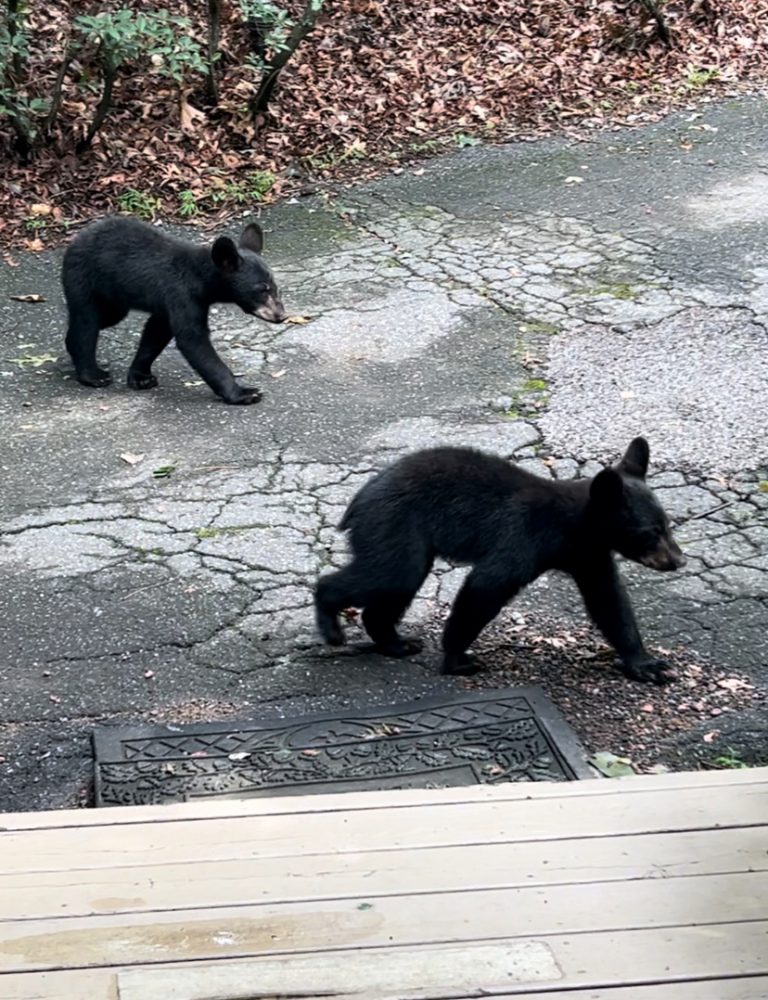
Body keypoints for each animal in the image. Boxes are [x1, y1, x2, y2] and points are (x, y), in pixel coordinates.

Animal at [61, 215, 286, 405]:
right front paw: (244, 392)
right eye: (261, 290)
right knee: (87, 322)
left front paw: (140, 377)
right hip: (84, 279)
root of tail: (74, 241)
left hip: (114, 299)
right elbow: (192, 340)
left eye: (275, 287)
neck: (200, 279)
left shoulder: (168, 305)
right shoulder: (182, 295)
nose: (281, 316)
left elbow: (156, 332)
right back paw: (92, 374)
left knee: (101, 318)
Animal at [315, 437, 685, 684]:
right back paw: (332, 625)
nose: (679, 560)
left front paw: (646, 664)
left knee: (394, 587)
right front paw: (457, 659)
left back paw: (397, 642)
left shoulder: (588, 556)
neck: (572, 527)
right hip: (396, 524)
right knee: (392, 574)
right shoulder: (523, 537)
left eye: (667, 524)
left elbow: (609, 601)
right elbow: (485, 587)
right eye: (650, 532)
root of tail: (357, 501)